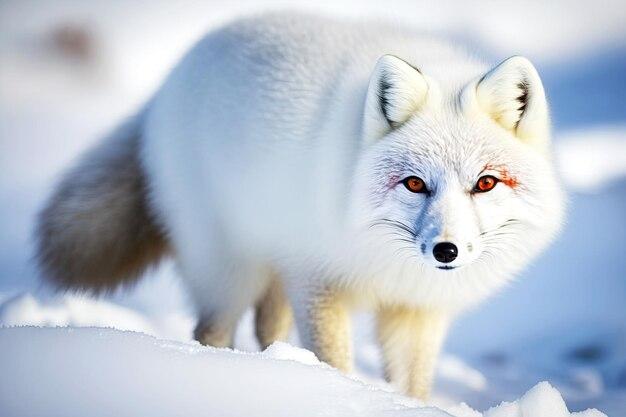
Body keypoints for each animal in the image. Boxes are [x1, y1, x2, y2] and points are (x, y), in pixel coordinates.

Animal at [39, 12, 564, 396]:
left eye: (486, 183)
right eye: (415, 184)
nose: (446, 251)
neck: (388, 264)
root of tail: (170, 80)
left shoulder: (415, 310)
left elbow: (413, 385)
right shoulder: (318, 280)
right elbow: (336, 361)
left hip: (273, 266)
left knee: (266, 324)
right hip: (232, 269)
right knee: (212, 330)